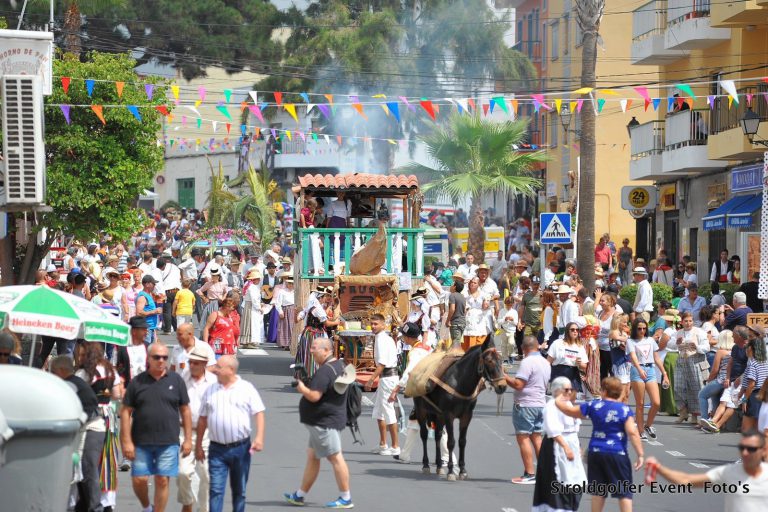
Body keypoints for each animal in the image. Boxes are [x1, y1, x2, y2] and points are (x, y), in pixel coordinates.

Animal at [414, 336, 504, 480]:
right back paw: (426, 465)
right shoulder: (449, 415)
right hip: (421, 411)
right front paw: (451, 471)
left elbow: (462, 441)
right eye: (489, 360)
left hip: (438, 415)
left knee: (438, 435)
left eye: (501, 360)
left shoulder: (466, 415)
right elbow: (451, 442)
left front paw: (462, 470)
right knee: (424, 435)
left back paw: (439, 465)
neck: (460, 382)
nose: (502, 386)